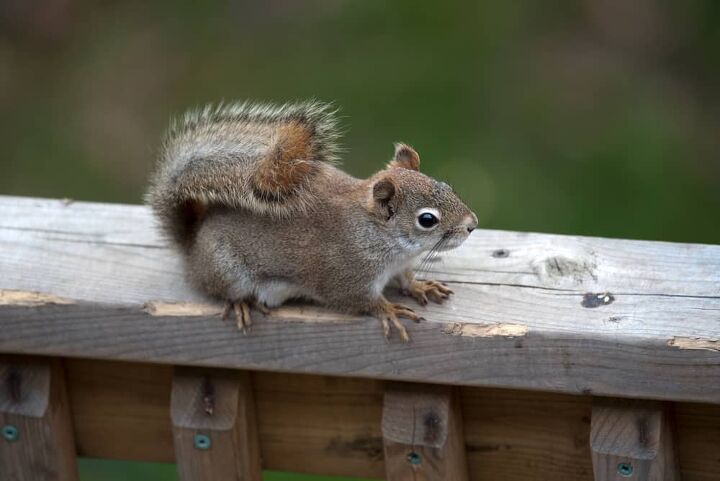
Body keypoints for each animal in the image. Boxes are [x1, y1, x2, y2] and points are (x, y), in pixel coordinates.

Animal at [145, 100, 478, 342]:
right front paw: (389, 310)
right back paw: (241, 303)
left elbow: (406, 279)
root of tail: (193, 244)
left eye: (447, 186)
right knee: (222, 291)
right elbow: (357, 300)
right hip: (225, 270)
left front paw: (421, 286)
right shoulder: (346, 274)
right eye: (427, 219)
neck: (381, 237)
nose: (472, 224)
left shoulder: (400, 266)